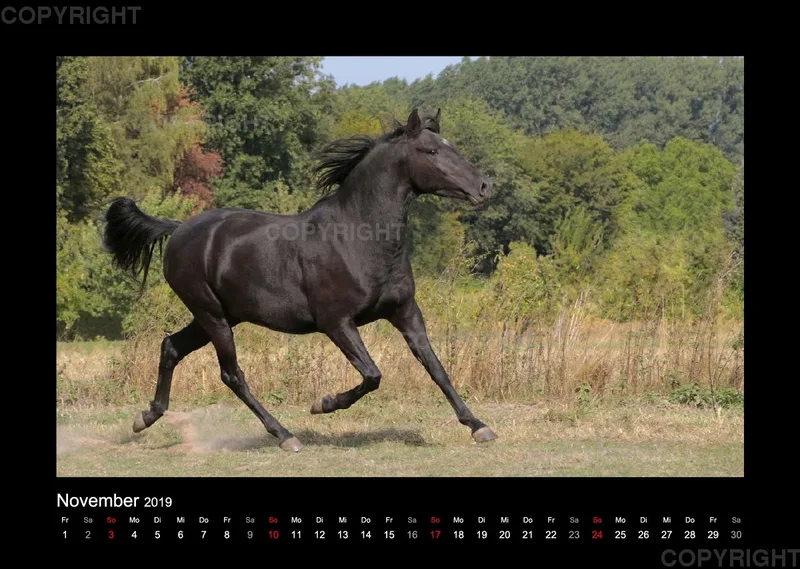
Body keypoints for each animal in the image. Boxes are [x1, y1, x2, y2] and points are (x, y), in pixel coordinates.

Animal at [102, 108, 497, 453]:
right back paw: (285, 436)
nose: (484, 186)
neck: (358, 237)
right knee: (231, 374)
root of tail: (179, 228)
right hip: (211, 315)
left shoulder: (405, 312)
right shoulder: (337, 322)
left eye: (450, 146)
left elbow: (437, 369)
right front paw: (323, 403)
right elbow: (372, 375)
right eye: (431, 151)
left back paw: (146, 417)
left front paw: (479, 426)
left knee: (171, 347)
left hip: (220, 316)